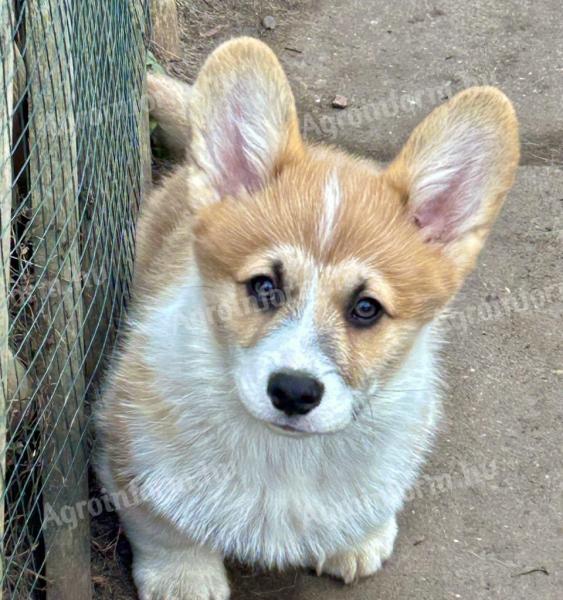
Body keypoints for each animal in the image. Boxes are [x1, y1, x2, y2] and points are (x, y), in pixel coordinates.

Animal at [96, 36, 520, 600]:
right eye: (264, 286)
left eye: (366, 308)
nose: (294, 392)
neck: (286, 456)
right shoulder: (127, 444)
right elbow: (163, 525)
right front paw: (184, 578)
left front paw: (358, 540)